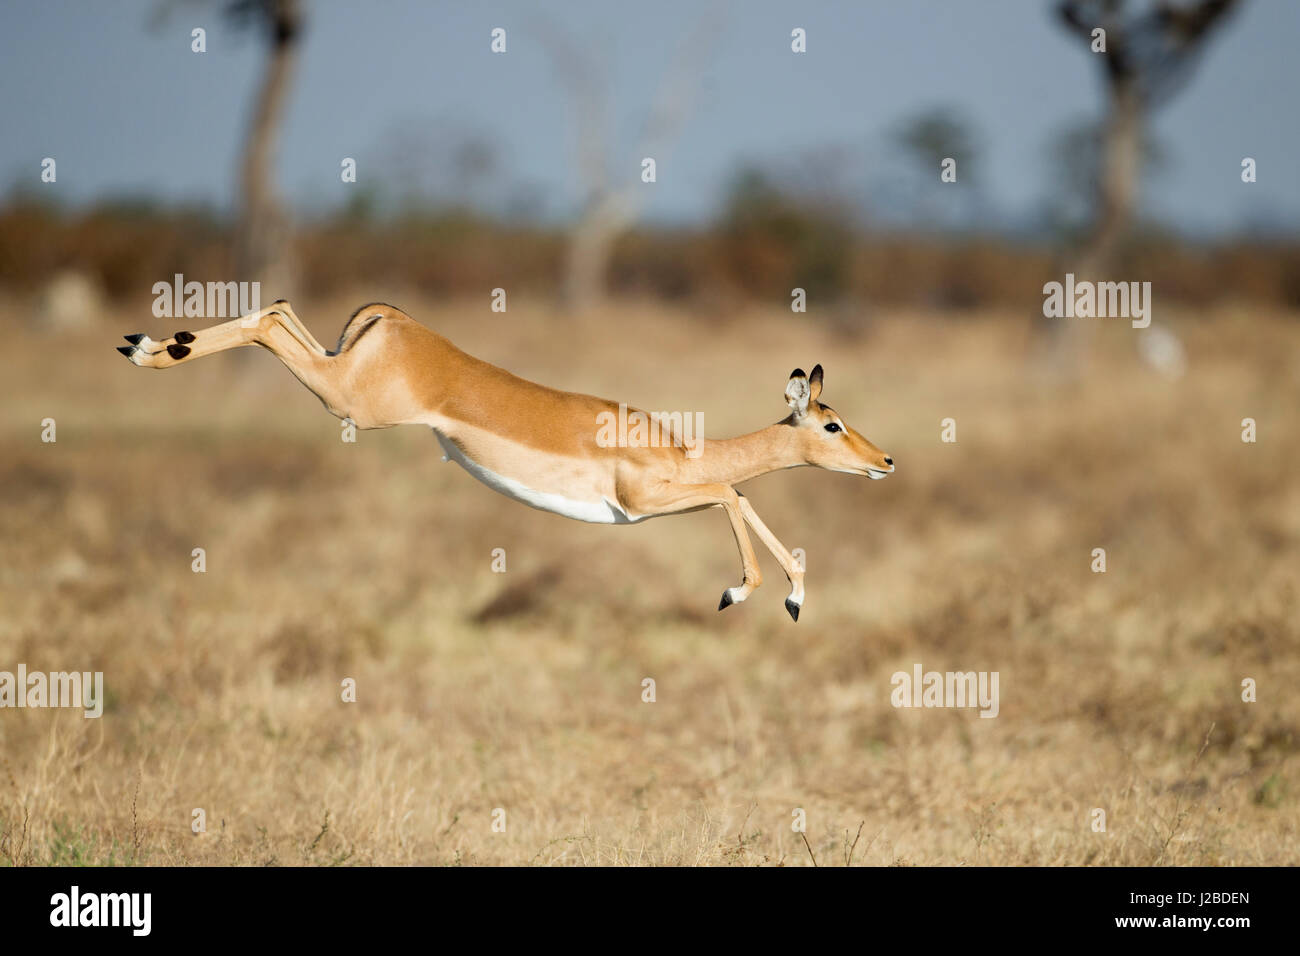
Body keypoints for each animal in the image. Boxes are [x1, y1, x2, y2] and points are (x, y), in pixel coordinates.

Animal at [118, 302, 894, 619]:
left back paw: (149, 342)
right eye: (831, 423)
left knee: (278, 307)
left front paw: (794, 598)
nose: (885, 460)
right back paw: (148, 350)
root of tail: (394, 318)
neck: (677, 443)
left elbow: (745, 496)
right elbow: (734, 494)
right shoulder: (641, 505)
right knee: (270, 317)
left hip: (339, 375)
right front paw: (739, 593)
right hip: (350, 404)